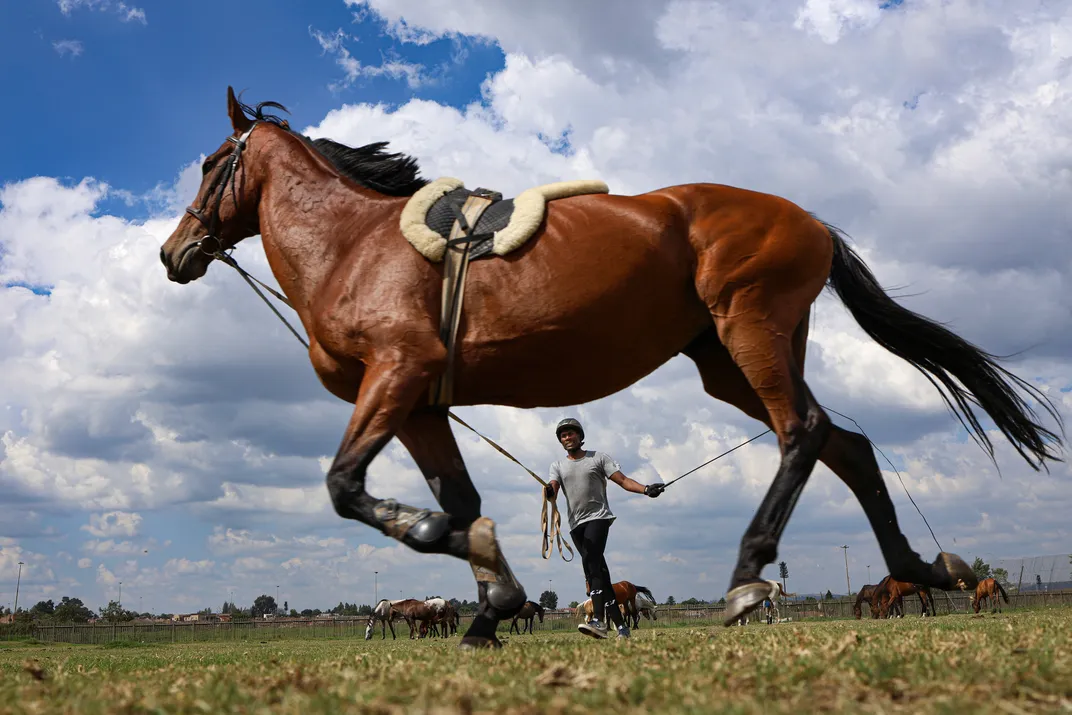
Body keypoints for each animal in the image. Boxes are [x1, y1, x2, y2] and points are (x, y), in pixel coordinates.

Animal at [158, 87, 1063, 643]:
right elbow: (462, 502)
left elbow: (352, 488)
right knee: (849, 444)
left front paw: (452, 554)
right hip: (729, 362)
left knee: (804, 433)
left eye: (209, 163)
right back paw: (921, 565)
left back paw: (747, 576)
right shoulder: (419, 403)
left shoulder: (397, 375)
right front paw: (490, 605)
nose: (175, 250)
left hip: (750, 329)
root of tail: (809, 219)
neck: (354, 245)